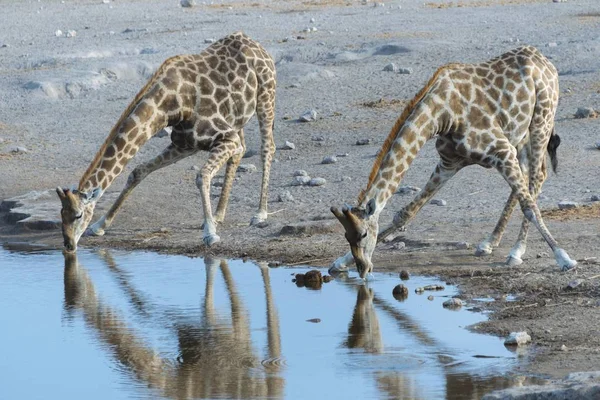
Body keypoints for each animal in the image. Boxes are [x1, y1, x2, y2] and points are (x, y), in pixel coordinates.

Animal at [56, 31, 276, 252]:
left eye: (78, 215)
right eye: (61, 215)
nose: (68, 245)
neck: (168, 106)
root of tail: (254, 43)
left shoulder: (225, 137)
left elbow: (202, 175)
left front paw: (210, 234)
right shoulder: (184, 144)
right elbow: (138, 171)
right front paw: (100, 225)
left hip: (266, 96)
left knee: (267, 147)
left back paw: (260, 213)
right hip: (238, 117)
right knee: (241, 151)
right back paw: (218, 215)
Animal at [330, 46, 580, 278]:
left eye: (363, 234)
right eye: (346, 236)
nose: (363, 269)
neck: (441, 115)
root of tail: (544, 61)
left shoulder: (501, 151)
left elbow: (529, 207)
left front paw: (564, 258)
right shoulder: (449, 163)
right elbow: (406, 213)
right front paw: (339, 263)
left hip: (541, 120)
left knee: (537, 177)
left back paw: (517, 250)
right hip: (520, 133)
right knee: (528, 176)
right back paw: (489, 242)